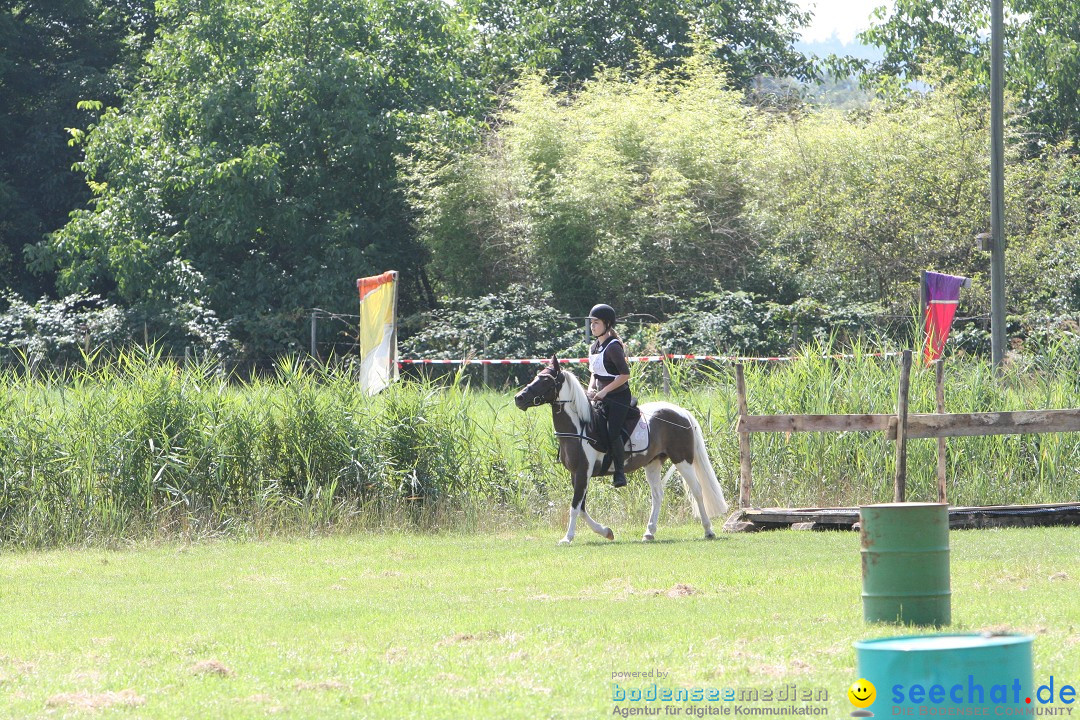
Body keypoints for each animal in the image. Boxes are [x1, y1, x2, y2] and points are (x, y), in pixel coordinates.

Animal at [511, 354, 730, 546]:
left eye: (545, 380)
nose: (518, 398)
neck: (580, 426)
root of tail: (682, 412)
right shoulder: (577, 474)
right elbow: (581, 507)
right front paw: (606, 532)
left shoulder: (583, 472)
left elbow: (574, 506)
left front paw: (567, 538)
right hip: (653, 463)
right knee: (658, 495)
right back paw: (649, 533)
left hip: (682, 460)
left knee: (697, 491)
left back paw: (708, 530)